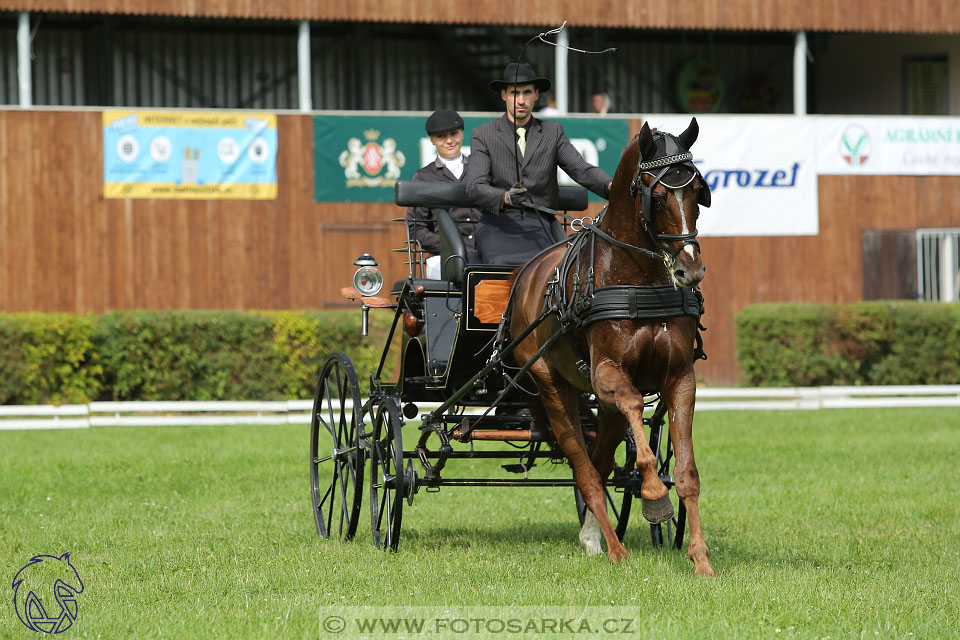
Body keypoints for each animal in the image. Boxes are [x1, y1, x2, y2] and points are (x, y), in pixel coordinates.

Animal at [510, 117, 712, 576]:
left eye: (698, 191)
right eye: (657, 194)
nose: (690, 269)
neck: (636, 277)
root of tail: (528, 271)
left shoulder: (680, 377)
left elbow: (687, 473)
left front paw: (700, 560)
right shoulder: (607, 375)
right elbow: (637, 414)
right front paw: (654, 496)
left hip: (603, 404)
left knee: (599, 462)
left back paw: (593, 536)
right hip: (553, 386)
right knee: (583, 467)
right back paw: (616, 551)